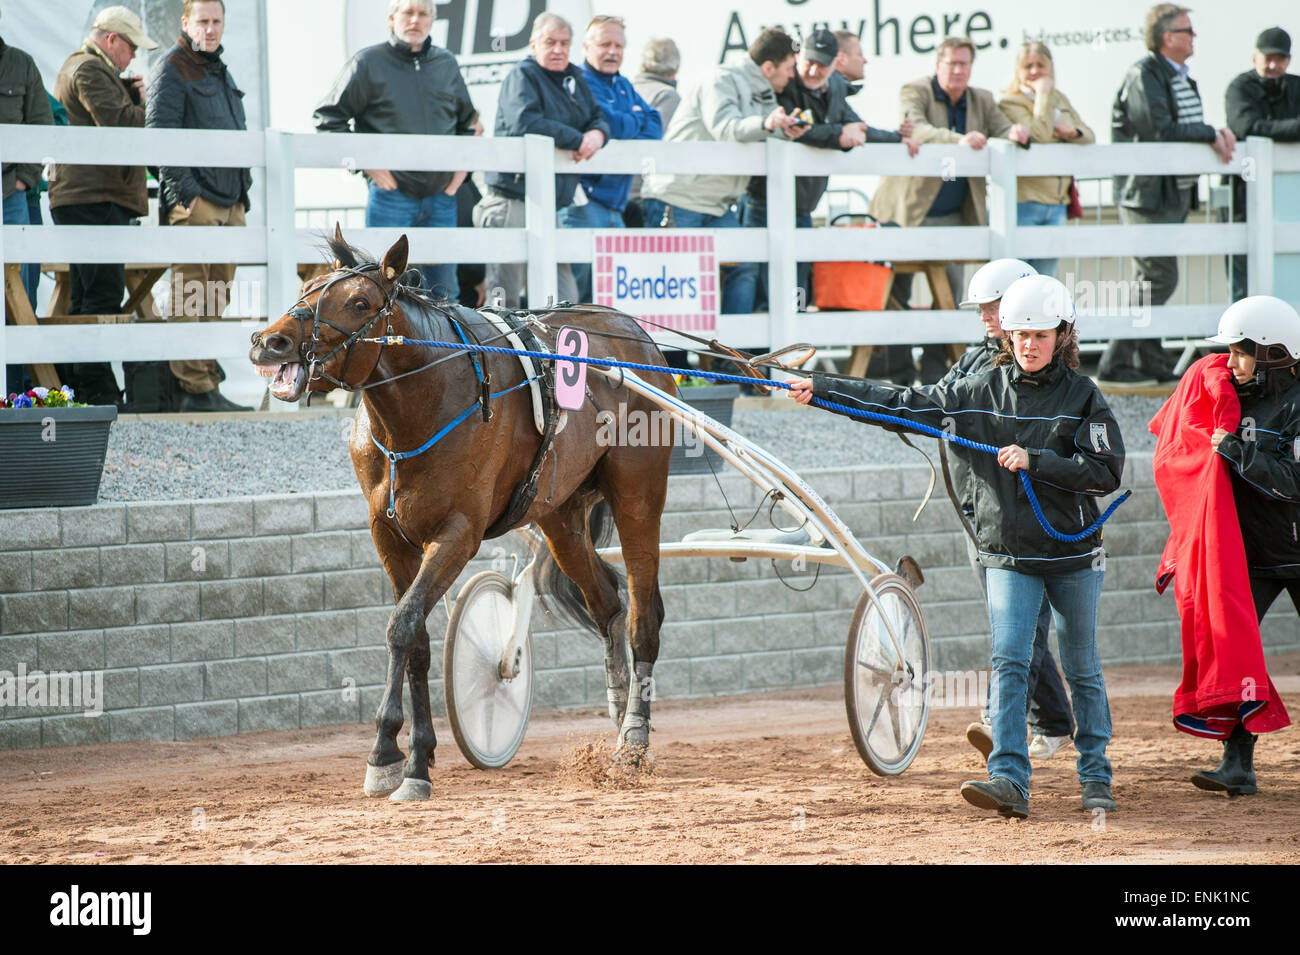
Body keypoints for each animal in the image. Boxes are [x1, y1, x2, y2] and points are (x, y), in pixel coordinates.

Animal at [248, 226, 681, 800]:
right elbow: (417, 640)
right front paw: (415, 754)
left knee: (642, 615)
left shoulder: (457, 535)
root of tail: (635, 333)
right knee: (607, 602)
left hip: (638, 491)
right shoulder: (388, 534)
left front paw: (389, 756)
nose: (269, 341)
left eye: (359, 302)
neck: (423, 405)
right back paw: (618, 711)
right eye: (308, 287)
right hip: (560, 514)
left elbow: (402, 625)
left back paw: (633, 741)